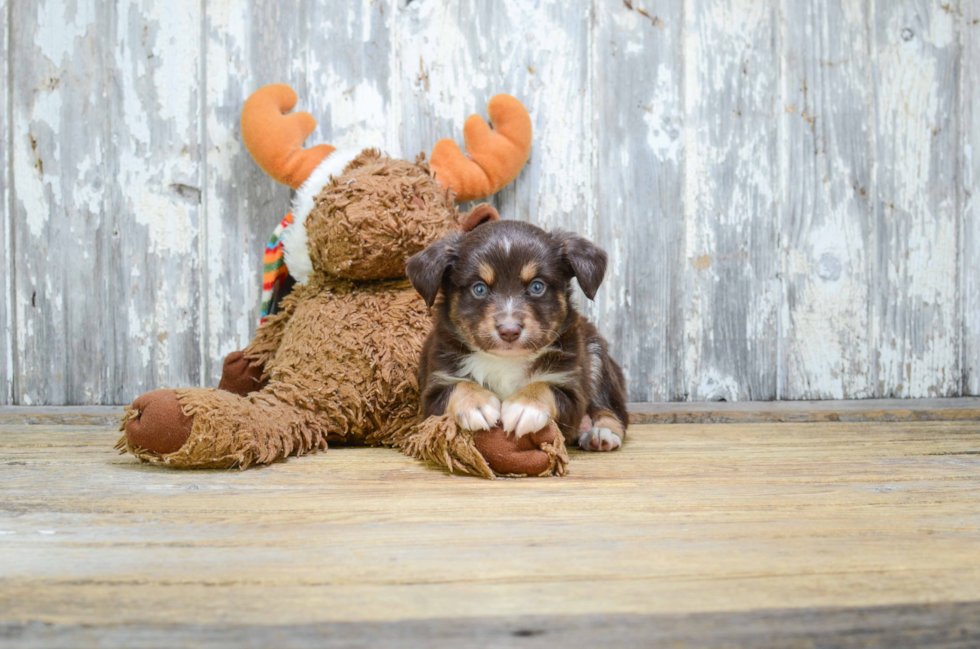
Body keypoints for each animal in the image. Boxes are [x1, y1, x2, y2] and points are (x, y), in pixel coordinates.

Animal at [406, 215, 628, 448]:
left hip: (596, 355)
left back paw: (600, 433)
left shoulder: (571, 387)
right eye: (479, 288)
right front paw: (477, 405)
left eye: (537, 286)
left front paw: (524, 407)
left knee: (612, 409)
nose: (509, 331)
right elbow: (459, 386)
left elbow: (544, 385)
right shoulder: (434, 390)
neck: (505, 361)